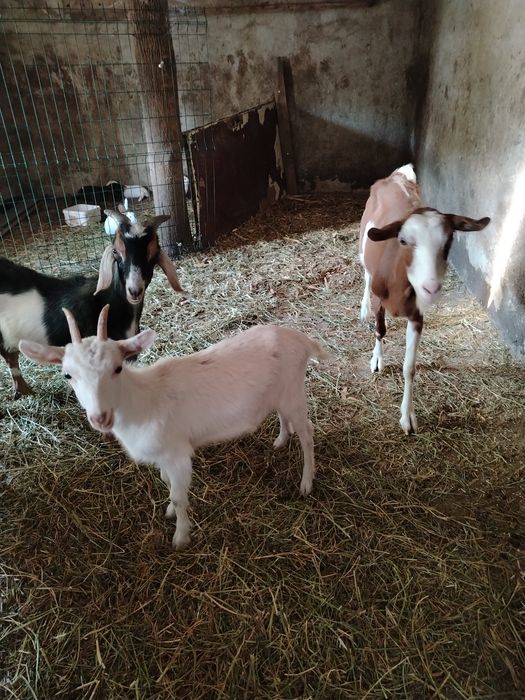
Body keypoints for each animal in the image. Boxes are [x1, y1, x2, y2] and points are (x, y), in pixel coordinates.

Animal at [19, 305, 325, 550]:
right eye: (67, 374)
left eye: (118, 368)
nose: (100, 418)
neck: (141, 401)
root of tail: (301, 339)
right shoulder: (162, 456)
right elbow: (166, 483)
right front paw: (167, 511)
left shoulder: (178, 455)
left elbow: (179, 497)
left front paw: (180, 537)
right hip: (280, 394)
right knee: (284, 417)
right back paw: (281, 440)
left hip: (293, 393)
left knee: (308, 434)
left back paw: (306, 483)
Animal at [359, 164, 490, 434]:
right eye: (403, 241)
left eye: (449, 242)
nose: (431, 288)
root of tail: (395, 176)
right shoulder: (380, 299)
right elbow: (379, 330)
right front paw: (377, 360)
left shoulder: (417, 315)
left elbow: (409, 367)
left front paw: (407, 418)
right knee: (364, 271)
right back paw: (363, 306)